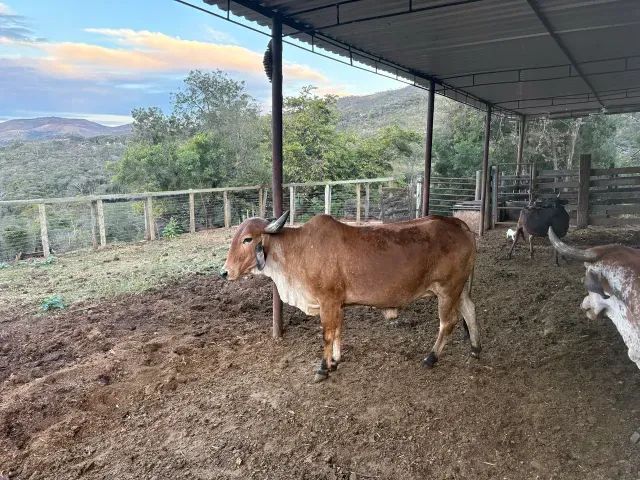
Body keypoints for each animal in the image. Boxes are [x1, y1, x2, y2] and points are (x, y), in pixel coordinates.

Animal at [221, 211, 480, 382]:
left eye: (247, 239)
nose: (225, 272)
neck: (298, 250)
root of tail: (458, 224)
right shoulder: (338, 303)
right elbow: (337, 331)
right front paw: (334, 361)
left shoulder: (328, 301)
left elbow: (327, 334)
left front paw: (322, 369)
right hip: (459, 289)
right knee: (470, 310)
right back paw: (476, 348)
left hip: (448, 289)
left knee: (448, 322)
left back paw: (431, 358)